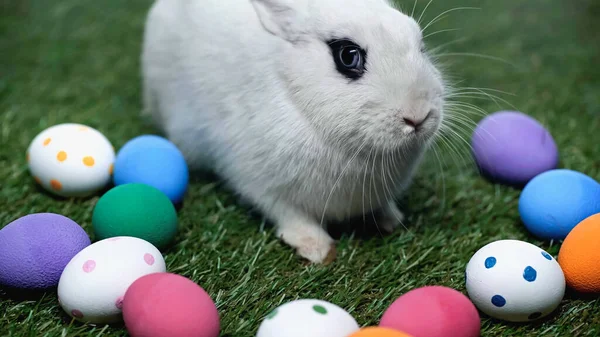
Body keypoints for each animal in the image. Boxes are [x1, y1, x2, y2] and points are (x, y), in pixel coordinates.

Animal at [142, 0, 446, 262]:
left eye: (421, 46)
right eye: (348, 56)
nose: (418, 116)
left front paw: (392, 220)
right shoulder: (261, 184)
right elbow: (291, 215)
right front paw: (317, 250)